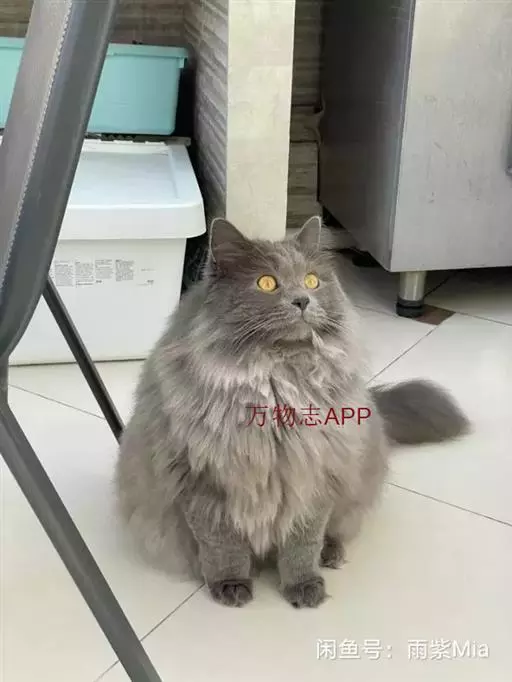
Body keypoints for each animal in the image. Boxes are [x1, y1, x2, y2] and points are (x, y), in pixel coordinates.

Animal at [115, 216, 469, 609]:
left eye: (312, 280)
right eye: (267, 283)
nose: (302, 300)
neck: (278, 382)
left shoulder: (313, 476)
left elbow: (302, 544)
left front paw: (304, 585)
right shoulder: (202, 481)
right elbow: (223, 547)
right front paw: (231, 585)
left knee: (338, 529)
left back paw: (330, 553)